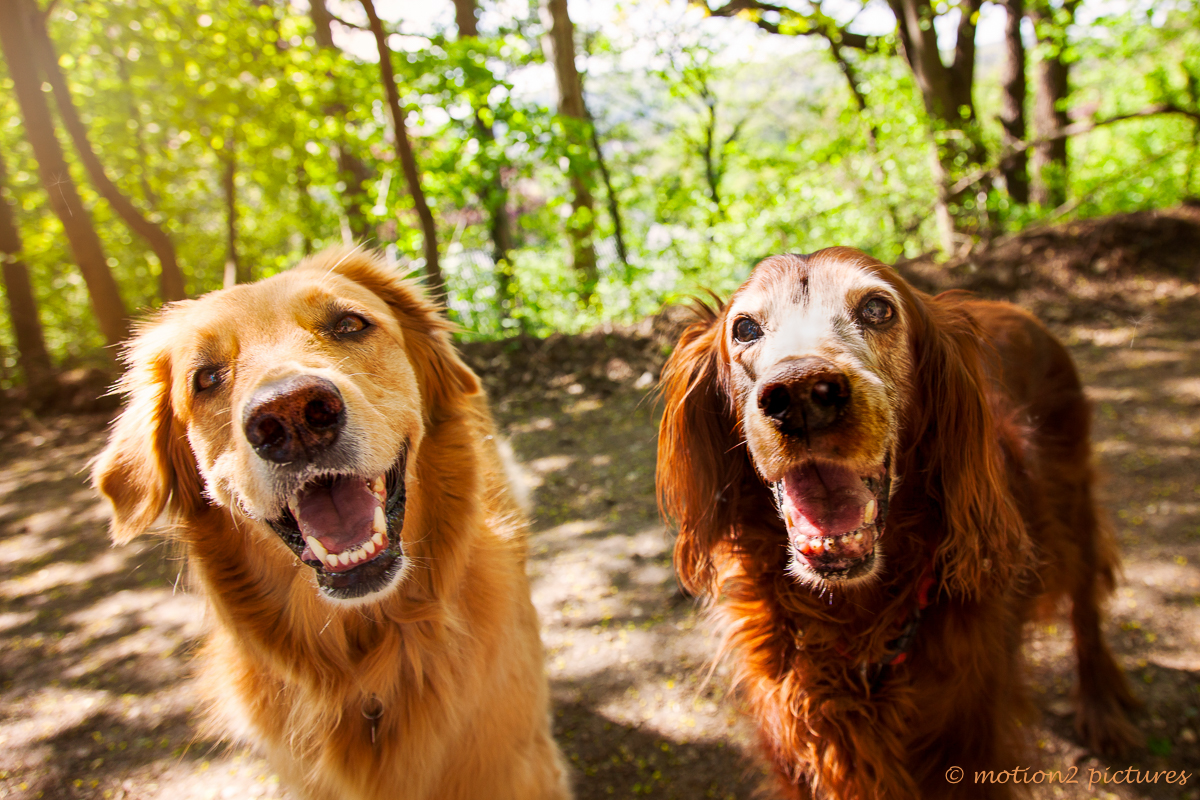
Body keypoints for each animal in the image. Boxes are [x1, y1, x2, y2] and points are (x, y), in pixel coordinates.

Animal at [662, 250, 1137, 800]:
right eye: (744, 328)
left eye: (877, 308)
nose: (801, 393)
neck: (855, 621)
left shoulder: (967, 747)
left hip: (1073, 502)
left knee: (1086, 605)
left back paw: (1101, 706)